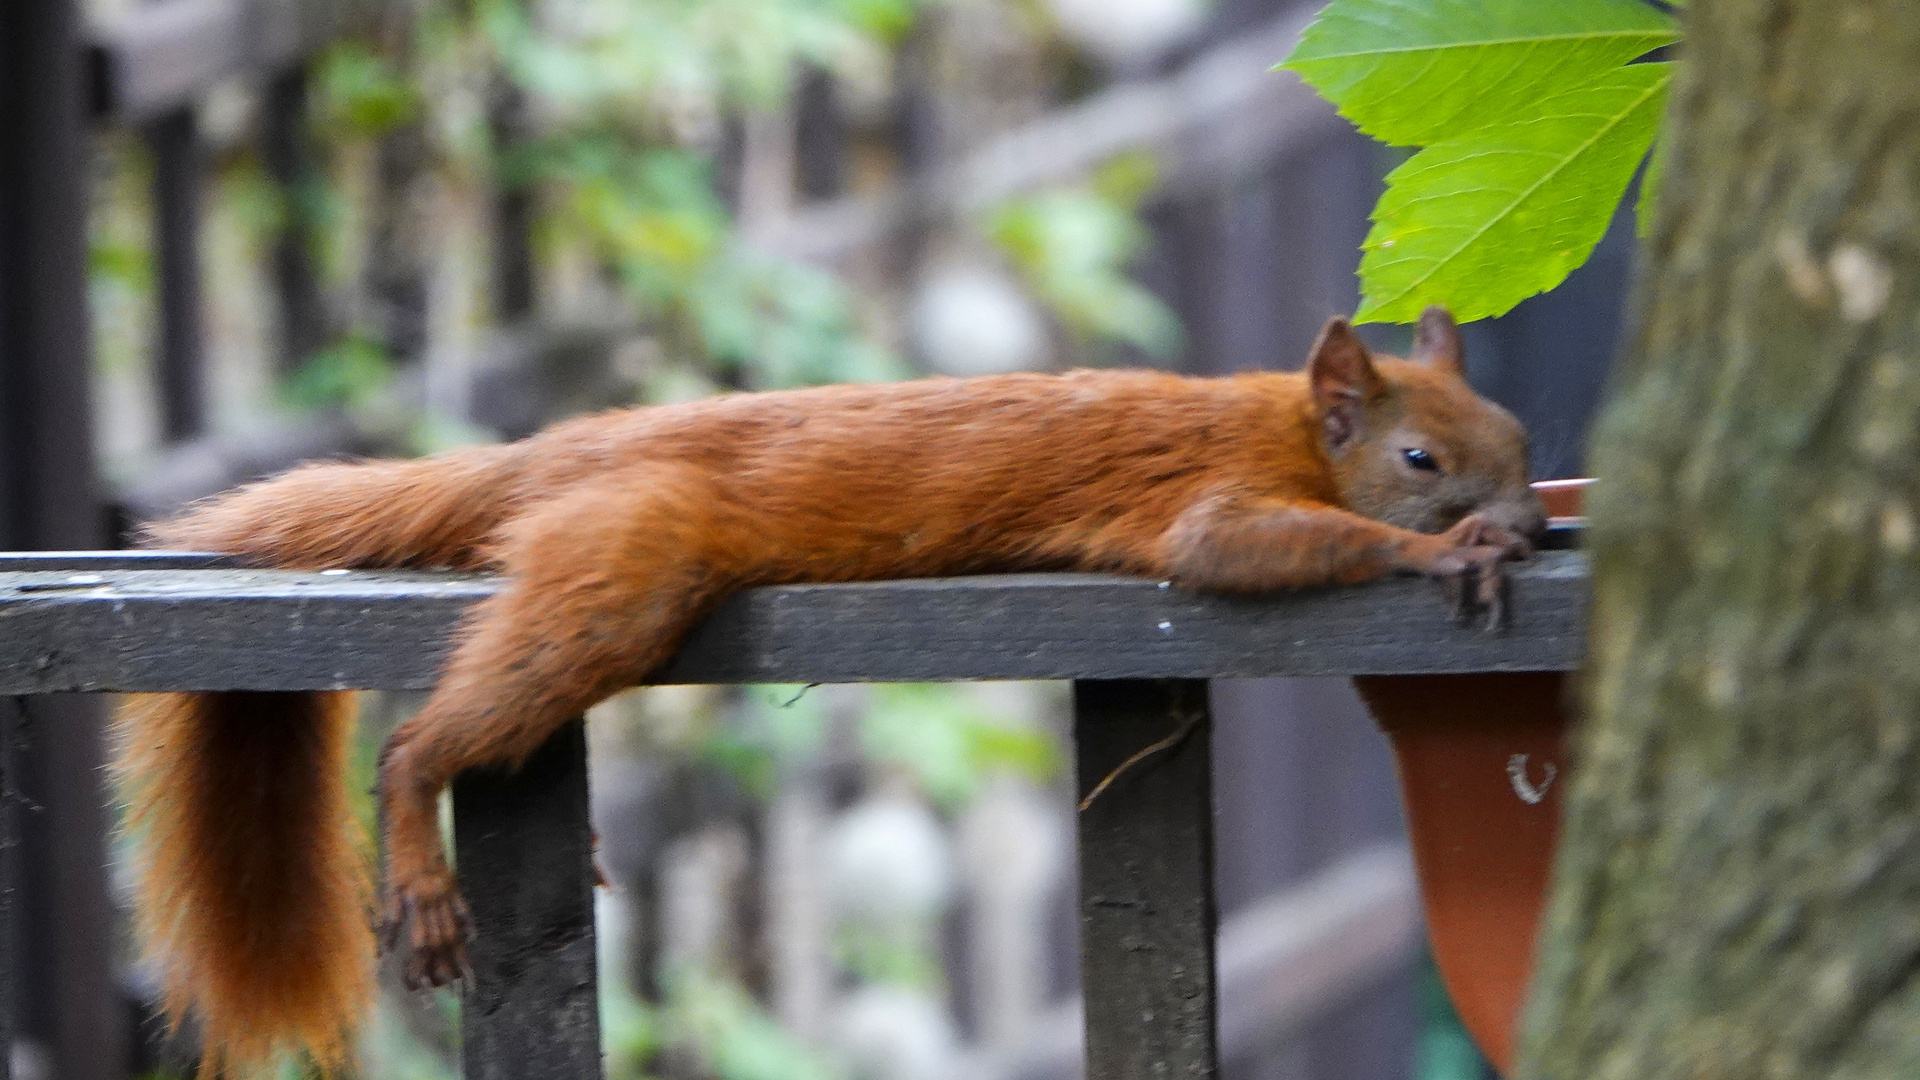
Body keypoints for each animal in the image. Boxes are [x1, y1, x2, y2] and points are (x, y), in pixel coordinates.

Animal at [112, 307, 1543, 1068]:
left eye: (1524, 438)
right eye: (1422, 458)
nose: (1533, 516)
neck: (1295, 428)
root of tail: (551, 455)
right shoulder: (1204, 500)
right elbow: (1245, 547)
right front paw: (1446, 551)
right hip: (626, 561)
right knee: (420, 741)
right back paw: (418, 842)